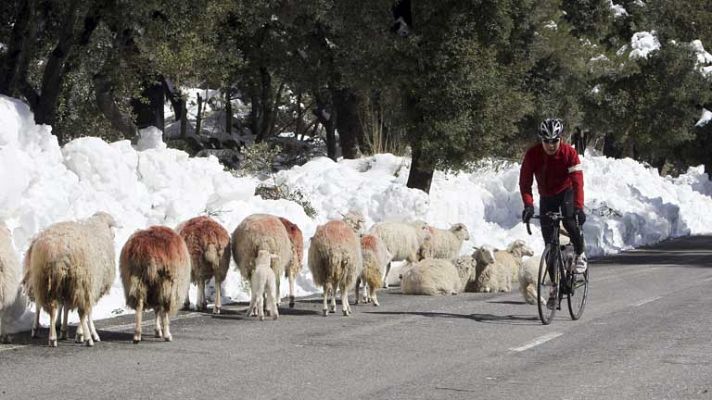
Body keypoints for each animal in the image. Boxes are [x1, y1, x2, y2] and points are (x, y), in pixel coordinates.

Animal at [24, 212, 117, 346]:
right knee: (81, 311)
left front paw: (64, 330)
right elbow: (87, 312)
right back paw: (87, 338)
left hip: (43, 279)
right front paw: (85, 333)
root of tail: (55, 250)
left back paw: (48, 335)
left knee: (46, 306)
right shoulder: (90, 285)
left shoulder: (69, 286)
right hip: (79, 281)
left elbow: (67, 306)